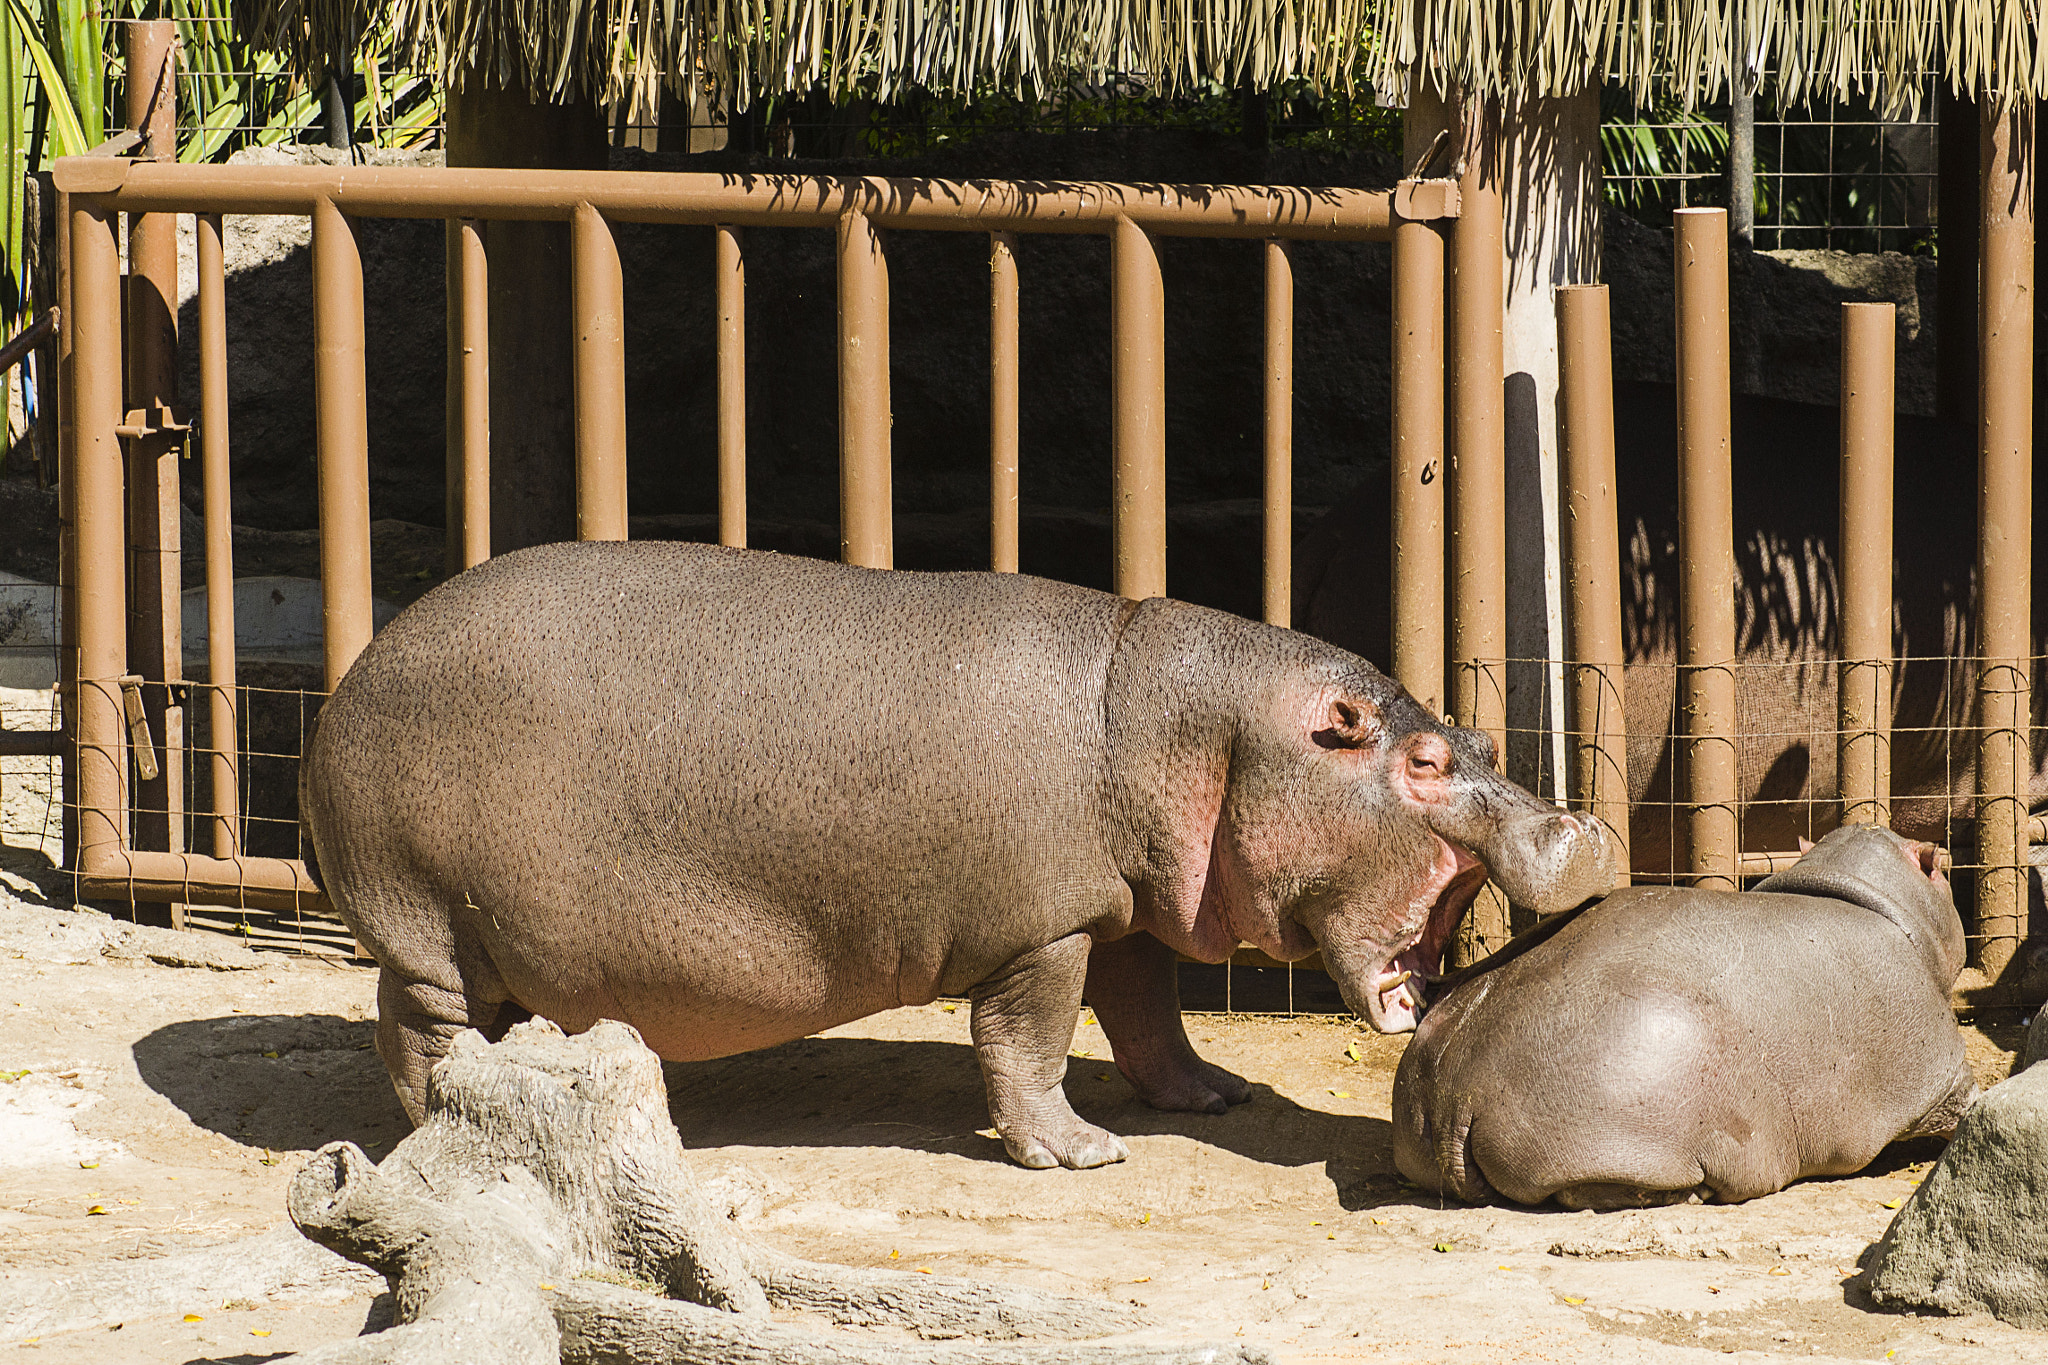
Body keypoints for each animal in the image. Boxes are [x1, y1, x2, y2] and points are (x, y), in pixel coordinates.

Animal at [303, 540, 1613, 1170]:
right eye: (1422, 763)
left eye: (1479, 734)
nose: (1582, 832)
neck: (1190, 726)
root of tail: (362, 661)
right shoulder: (1043, 930)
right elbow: (1025, 1043)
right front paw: (1082, 1157)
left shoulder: (1119, 912)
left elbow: (1149, 1017)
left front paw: (1211, 1097)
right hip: (428, 930)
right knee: (418, 1036)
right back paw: (444, 1127)